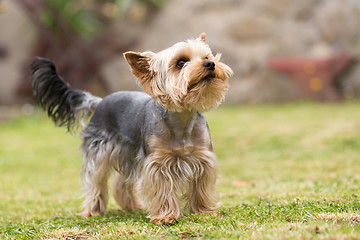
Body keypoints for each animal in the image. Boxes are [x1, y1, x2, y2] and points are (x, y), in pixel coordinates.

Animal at [31, 32, 233, 224]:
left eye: (206, 56)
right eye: (181, 63)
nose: (210, 64)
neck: (182, 118)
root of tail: (100, 100)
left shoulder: (202, 158)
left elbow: (200, 187)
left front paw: (203, 211)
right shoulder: (157, 163)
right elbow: (163, 189)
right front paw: (165, 216)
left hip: (127, 154)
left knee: (121, 181)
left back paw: (131, 206)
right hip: (100, 151)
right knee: (96, 181)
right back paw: (93, 210)